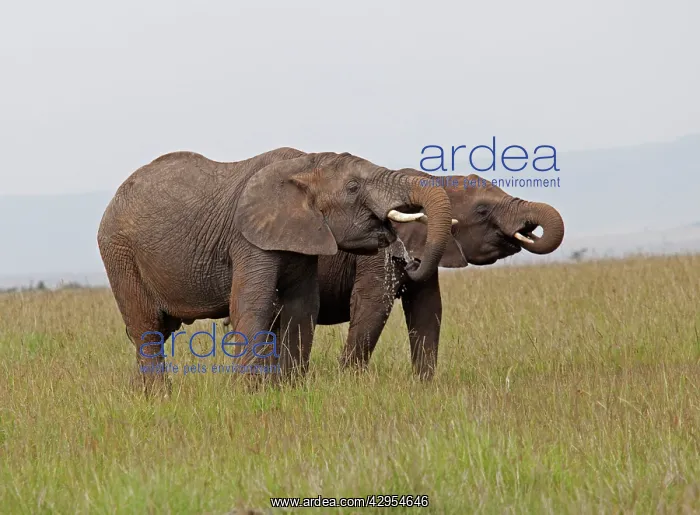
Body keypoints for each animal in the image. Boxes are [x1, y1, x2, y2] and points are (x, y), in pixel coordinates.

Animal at [97, 147, 454, 394]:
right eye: (353, 187)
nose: (409, 262)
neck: (306, 164)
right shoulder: (249, 239)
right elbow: (252, 305)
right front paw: (246, 395)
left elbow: (302, 308)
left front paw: (289, 390)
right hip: (119, 253)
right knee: (147, 327)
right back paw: (160, 398)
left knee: (159, 328)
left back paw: (141, 396)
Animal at [220, 171, 564, 379]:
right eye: (481, 211)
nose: (408, 263)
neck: (430, 182)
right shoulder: (376, 255)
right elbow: (374, 304)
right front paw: (348, 383)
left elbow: (428, 309)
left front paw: (424, 386)